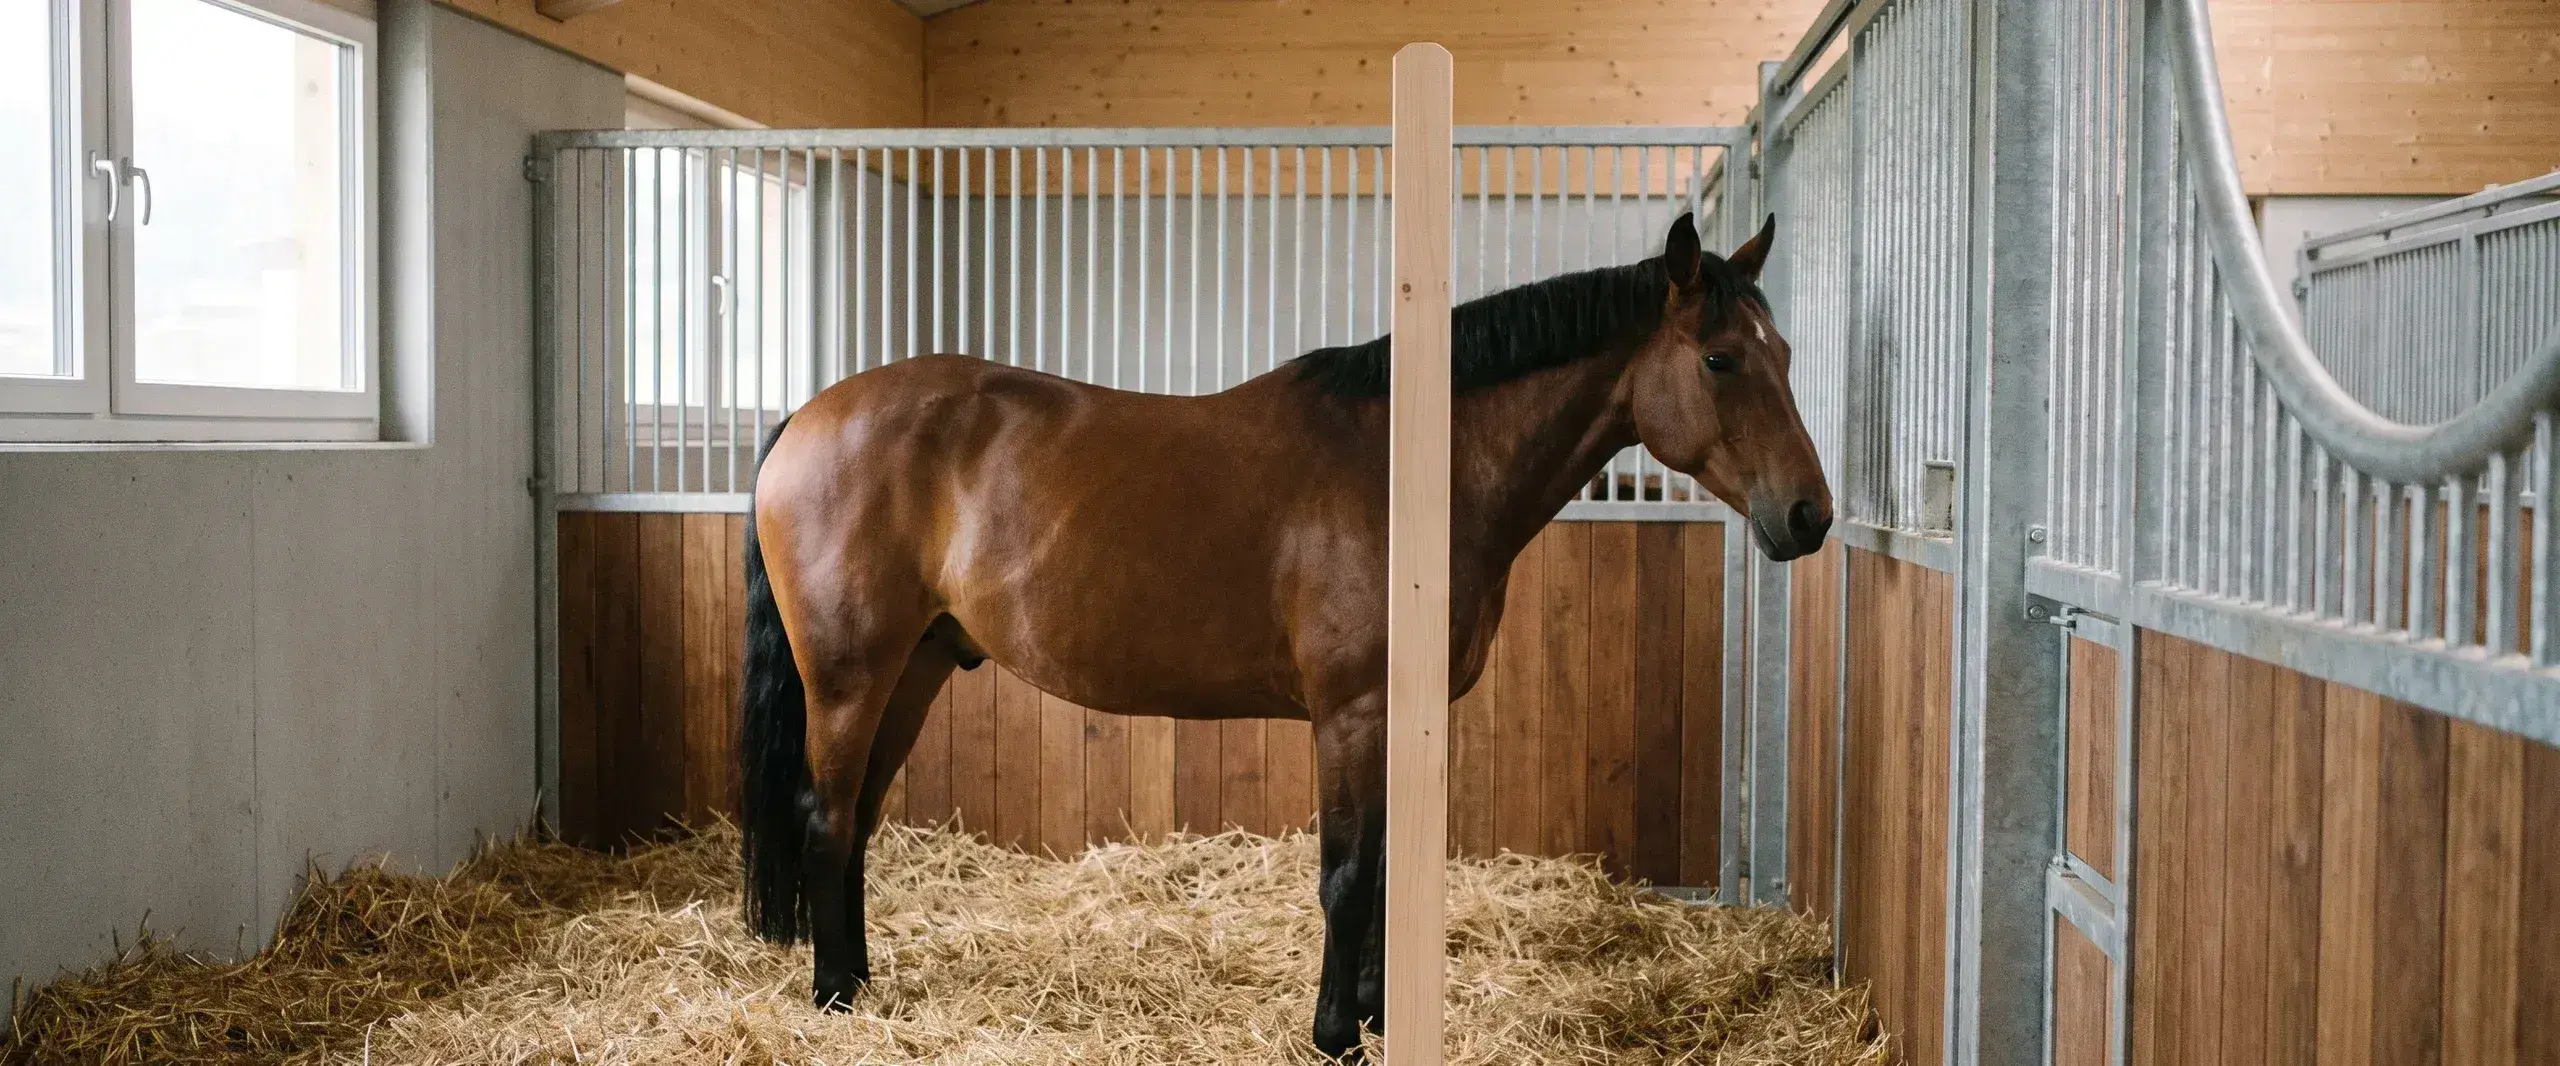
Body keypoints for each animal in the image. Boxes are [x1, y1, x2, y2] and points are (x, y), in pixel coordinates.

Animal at [736, 211, 1830, 1059]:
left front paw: (1378, 1017)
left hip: (915, 669)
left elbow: (1381, 869)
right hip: (850, 677)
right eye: (1721, 359)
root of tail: (808, 418)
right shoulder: (1351, 713)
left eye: (1783, 355)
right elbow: (1346, 876)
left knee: (856, 821)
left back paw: (861, 981)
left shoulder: (1396, 721)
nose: (1809, 516)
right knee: (825, 817)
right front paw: (1336, 1034)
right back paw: (832, 996)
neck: (1414, 473)